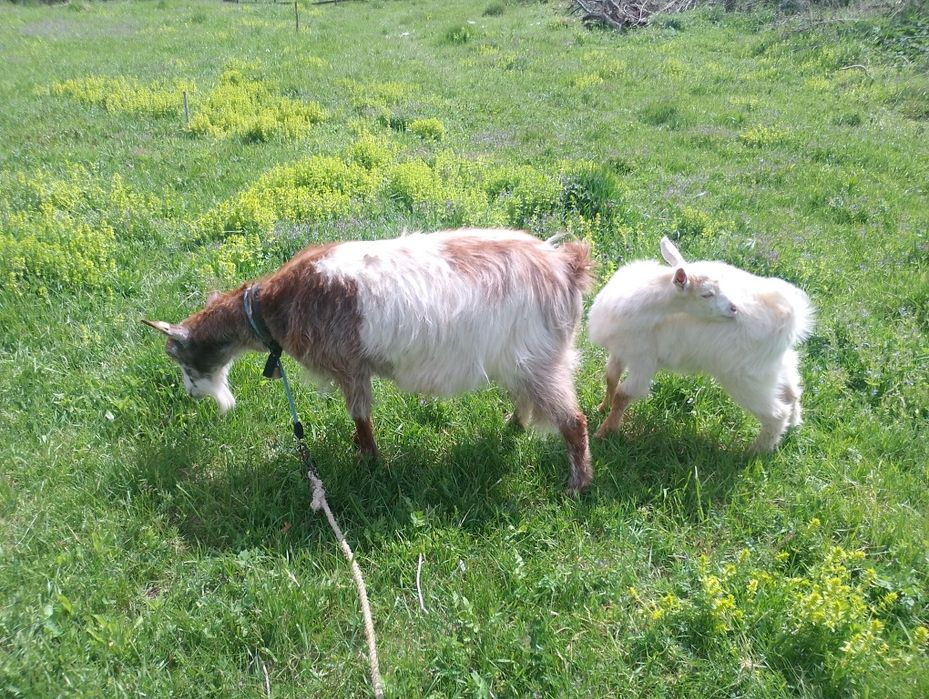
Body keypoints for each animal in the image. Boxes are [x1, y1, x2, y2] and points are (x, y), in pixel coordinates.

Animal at [143, 228, 595, 493]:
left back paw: (577, 485)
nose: (191, 394)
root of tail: (566, 266)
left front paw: (367, 460)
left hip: (541, 357)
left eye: (178, 358)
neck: (274, 307)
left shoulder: (350, 367)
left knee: (574, 420)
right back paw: (514, 425)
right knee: (527, 396)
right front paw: (364, 455)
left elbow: (360, 415)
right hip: (522, 359)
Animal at [587, 237, 814, 452]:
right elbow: (611, 378)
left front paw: (604, 432)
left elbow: (623, 395)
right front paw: (602, 408)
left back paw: (755, 452)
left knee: (776, 413)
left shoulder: (644, 361)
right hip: (772, 366)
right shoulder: (621, 350)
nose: (734, 308)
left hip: (746, 379)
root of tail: (792, 316)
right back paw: (794, 425)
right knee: (792, 392)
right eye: (707, 294)